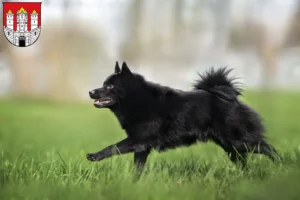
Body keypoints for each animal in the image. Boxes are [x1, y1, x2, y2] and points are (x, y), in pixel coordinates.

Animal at [87, 61, 282, 168]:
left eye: (110, 86)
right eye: (103, 84)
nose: (90, 92)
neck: (137, 99)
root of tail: (230, 97)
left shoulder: (138, 139)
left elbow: (113, 147)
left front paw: (95, 156)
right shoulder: (141, 147)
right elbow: (137, 168)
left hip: (239, 141)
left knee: (268, 148)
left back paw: (282, 166)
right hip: (230, 146)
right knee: (244, 161)